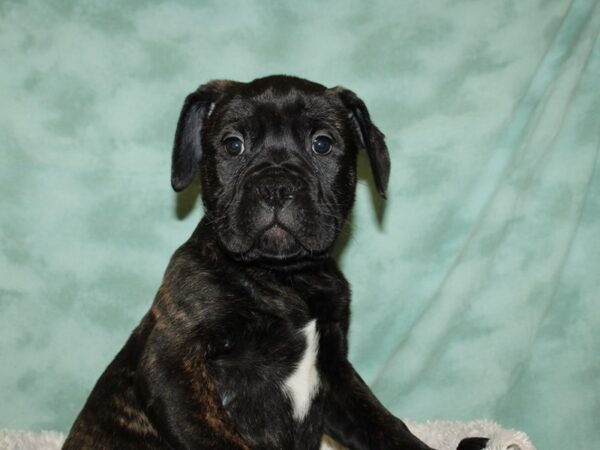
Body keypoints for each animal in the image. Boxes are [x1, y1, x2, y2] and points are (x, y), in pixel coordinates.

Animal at [64, 75, 488, 448]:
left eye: (322, 144)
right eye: (233, 145)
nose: (275, 186)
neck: (286, 278)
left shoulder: (335, 373)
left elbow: (383, 423)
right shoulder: (172, 366)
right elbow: (220, 440)